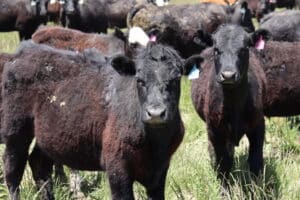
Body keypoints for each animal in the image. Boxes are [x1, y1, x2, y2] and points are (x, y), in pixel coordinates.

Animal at [0, 41, 195, 199]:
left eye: (176, 79)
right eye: (139, 80)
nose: (155, 113)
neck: (154, 143)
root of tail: (21, 54)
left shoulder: (160, 170)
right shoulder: (117, 168)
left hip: (49, 135)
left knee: (39, 164)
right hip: (16, 130)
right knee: (12, 170)